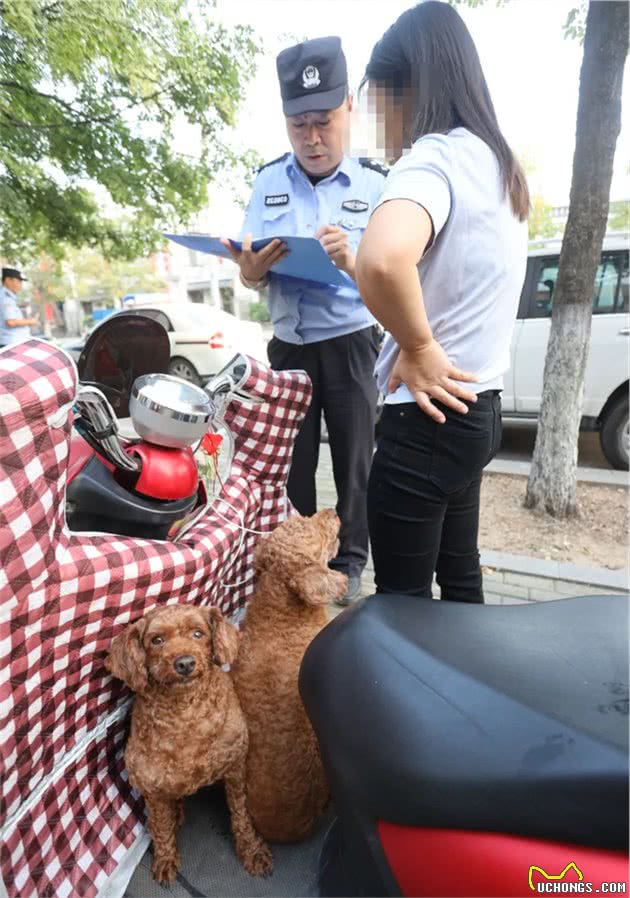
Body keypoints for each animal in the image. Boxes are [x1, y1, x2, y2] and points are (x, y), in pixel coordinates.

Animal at [105, 600, 272, 880]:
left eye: (198, 633)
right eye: (157, 640)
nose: (184, 663)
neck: (186, 713)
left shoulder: (236, 767)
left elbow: (241, 814)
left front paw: (252, 851)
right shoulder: (151, 787)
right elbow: (161, 826)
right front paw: (165, 858)